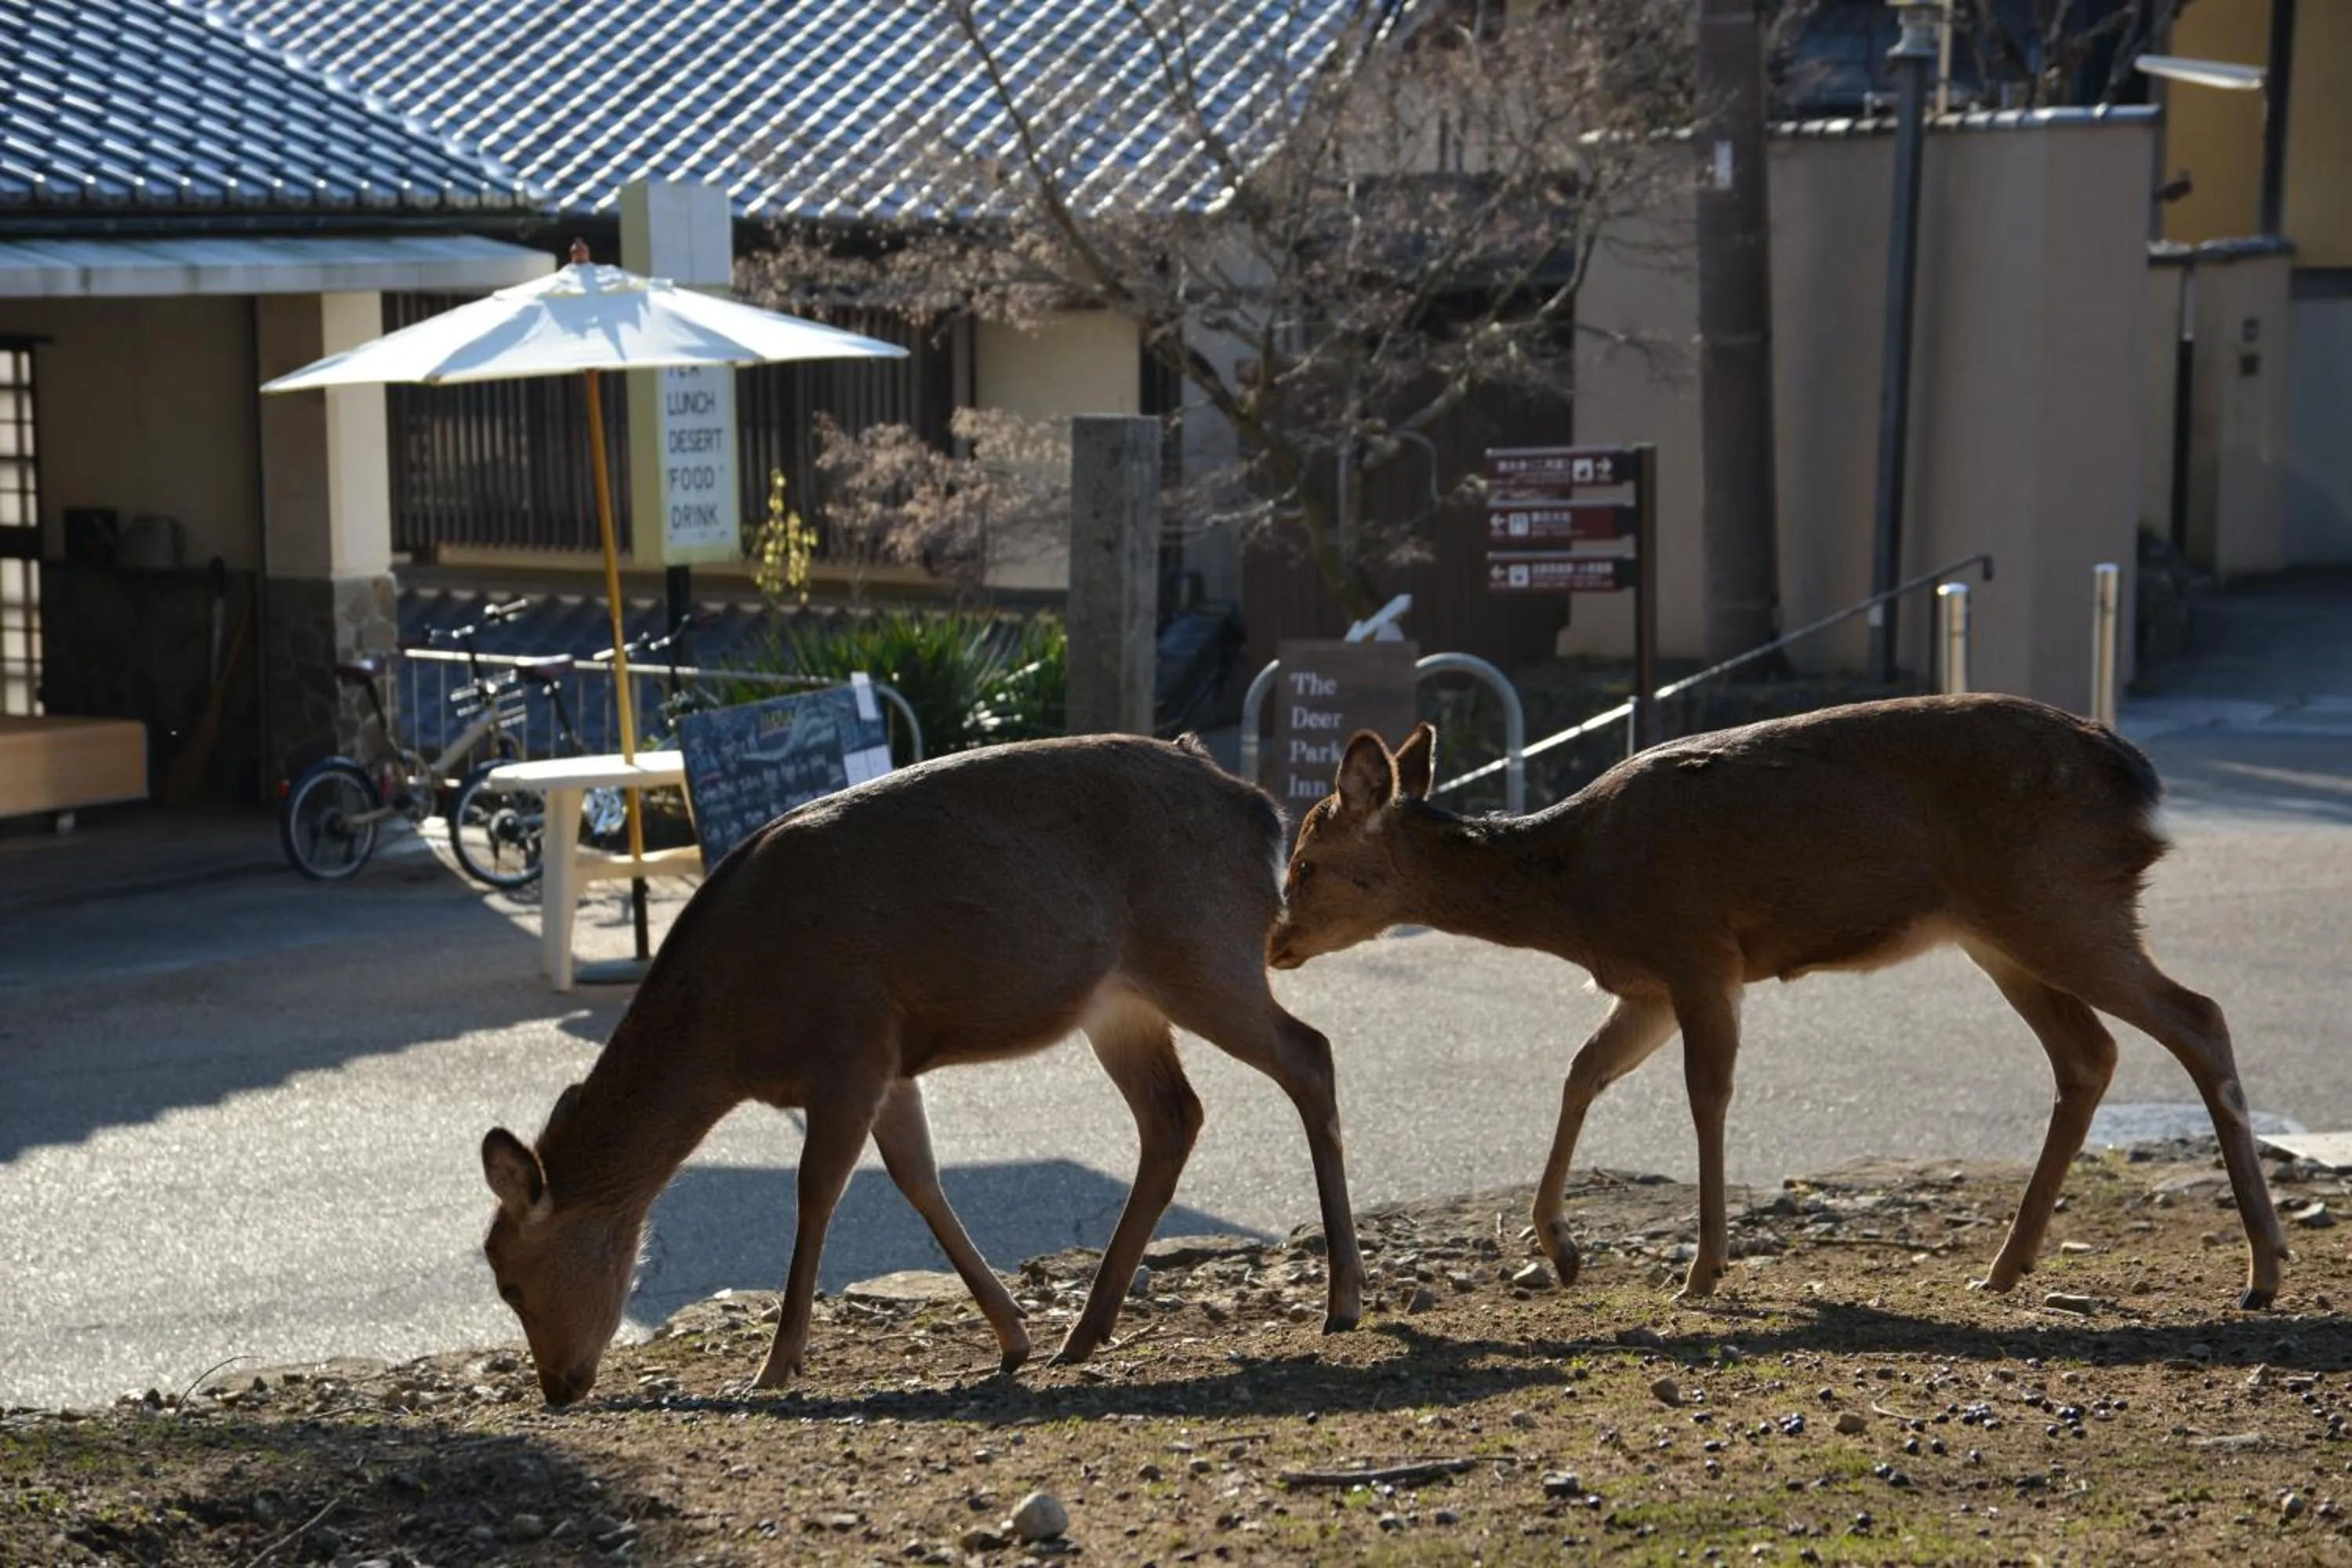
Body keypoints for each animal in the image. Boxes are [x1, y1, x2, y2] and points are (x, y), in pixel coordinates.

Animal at [480, 733, 1364, 1408]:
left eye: (509, 1280)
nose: (557, 1388)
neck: (730, 1033)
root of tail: (1264, 815)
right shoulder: (891, 1061)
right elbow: (917, 1177)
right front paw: (1013, 1335)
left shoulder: (850, 1044)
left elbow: (817, 1192)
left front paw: (773, 1366)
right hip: (1121, 1003)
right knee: (1175, 1114)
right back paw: (1085, 1330)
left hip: (1204, 951)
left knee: (1310, 1053)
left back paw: (1344, 1300)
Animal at [1266, 692, 2288, 1313]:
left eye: (1306, 861)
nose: (1273, 942)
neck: (1579, 892)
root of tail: (2141, 787)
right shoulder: (1648, 984)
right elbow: (1581, 1072)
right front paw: (1560, 1246)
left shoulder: (1697, 951)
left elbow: (1705, 1096)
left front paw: (1701, 1268)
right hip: (2003, 930)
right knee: (2089, 1053)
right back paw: (2006, 1265)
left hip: (2058, 900)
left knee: (2198, 1016)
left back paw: (2264, 1268)